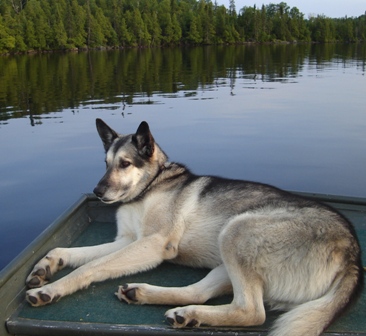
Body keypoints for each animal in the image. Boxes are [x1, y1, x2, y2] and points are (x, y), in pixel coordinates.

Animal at [26, 121, 364, 336]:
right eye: (105, 163)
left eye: (124, 164)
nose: (97, 192)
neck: (150, 187)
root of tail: (352, 254)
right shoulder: (126, 241)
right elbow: (68, 250)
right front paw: (46, 266)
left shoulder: (151, 244)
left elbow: (90, 267)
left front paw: (49, 289)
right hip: (226, 258)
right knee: (199, 293)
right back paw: (161, 303)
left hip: (236, 231)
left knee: (251, 311)